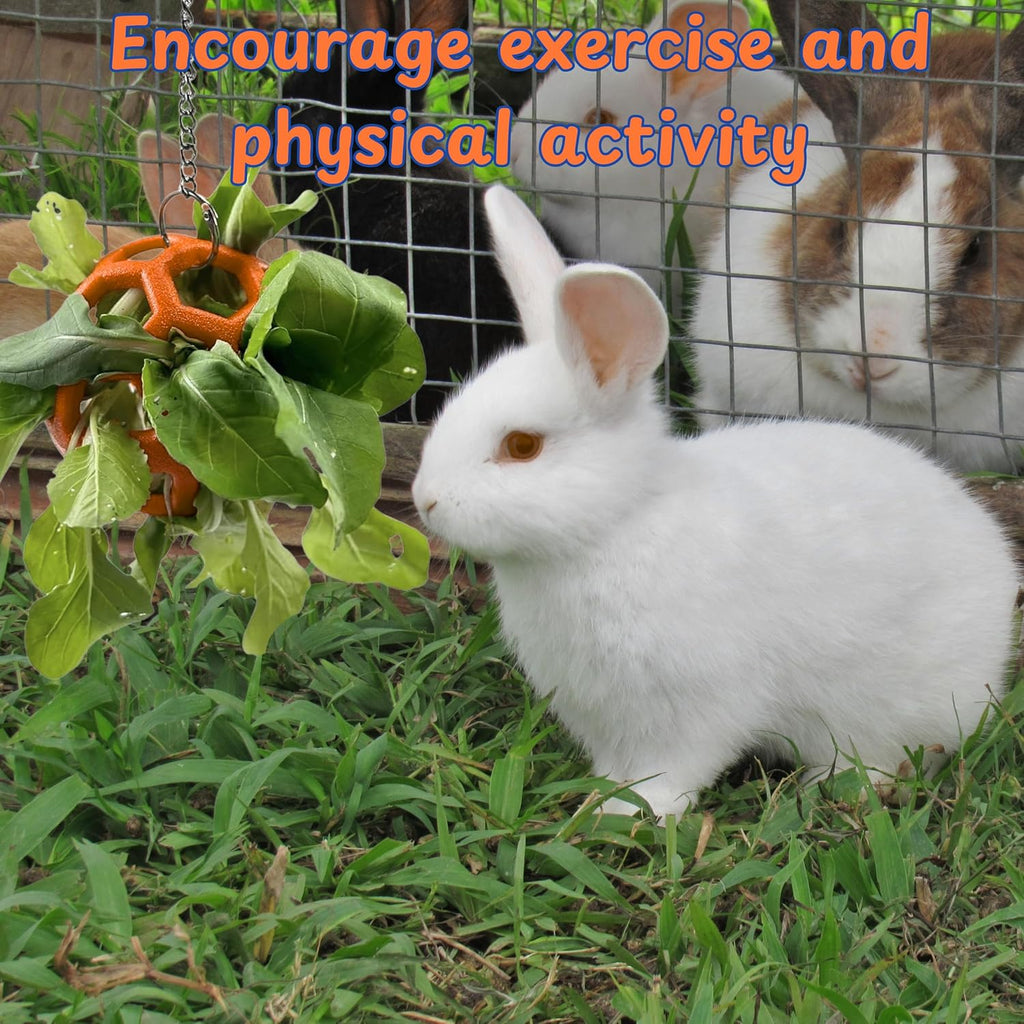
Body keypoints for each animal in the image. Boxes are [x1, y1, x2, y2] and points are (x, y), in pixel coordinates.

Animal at [412, 183, 1019, 821]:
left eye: (521, 446)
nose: (425, 500)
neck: (618, 524)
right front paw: (600, 798)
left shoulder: (693, 709)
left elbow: (674, 770)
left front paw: (629, 814)